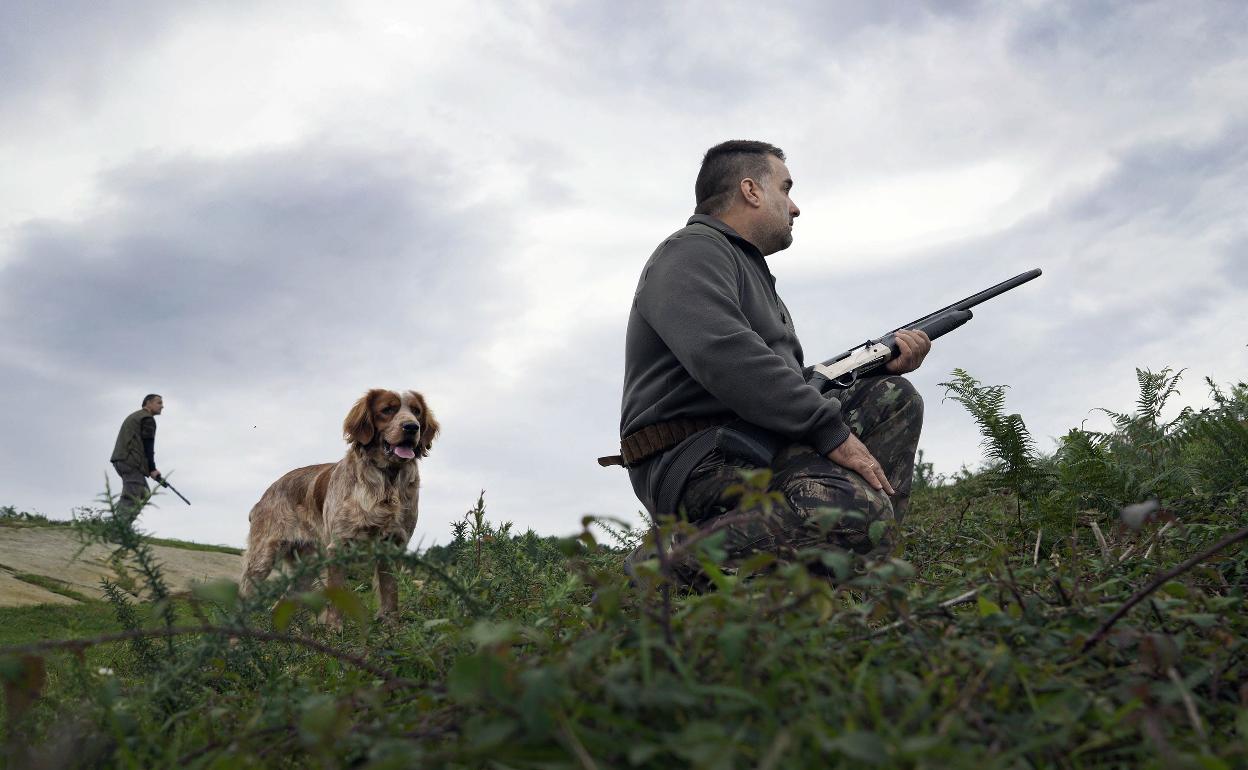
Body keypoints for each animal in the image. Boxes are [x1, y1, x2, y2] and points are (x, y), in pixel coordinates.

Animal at [240, 389, 441, 623]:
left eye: (416, 411)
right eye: (387, 410)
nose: (411, 427)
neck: (386, 483)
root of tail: (264, 496)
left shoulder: (393, 545)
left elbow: (390, 593)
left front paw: (391, 625)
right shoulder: (339, 545)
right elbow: (337, 595)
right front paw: (334, 628)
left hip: (306, 567)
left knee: (279, 605)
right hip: (262, 559)